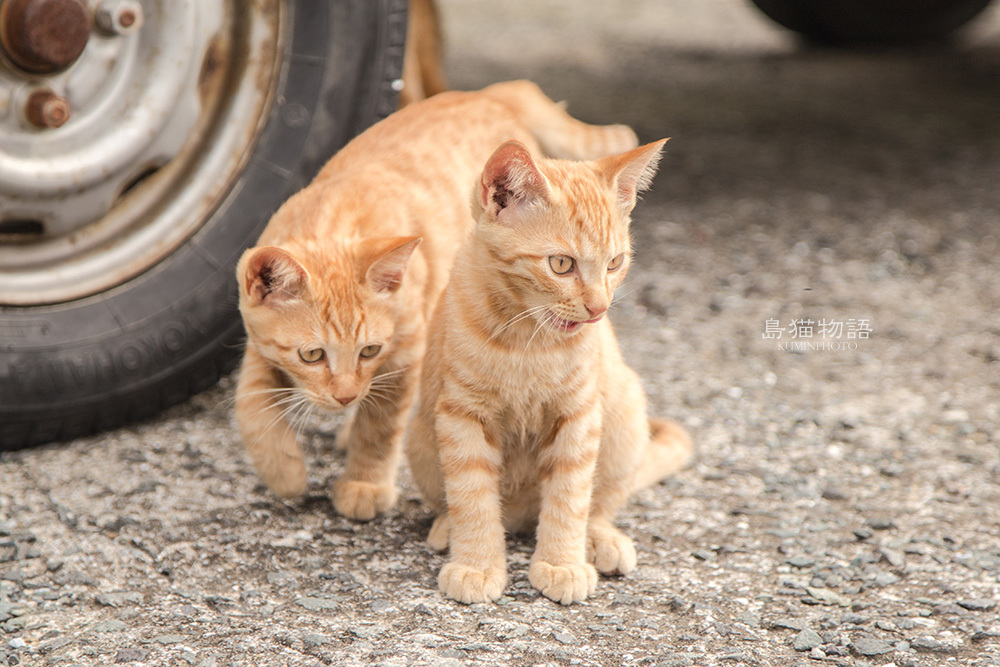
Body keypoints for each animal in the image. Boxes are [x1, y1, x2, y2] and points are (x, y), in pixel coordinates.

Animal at [234, 81, 636, 520]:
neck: (334, 220)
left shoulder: (405, 352)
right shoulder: (256, 337)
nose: (345, 397)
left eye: (369, 350)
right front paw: (282, 467)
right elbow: (250, 397)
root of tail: (489, 93)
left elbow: (380, 424)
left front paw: (364, 482)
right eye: (311, 355)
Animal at [402, 138, 692, 604]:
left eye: (615, 263)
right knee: (457, 502)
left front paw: (561, 563)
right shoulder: (462, 414)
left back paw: (601, 539)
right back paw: (449, 530)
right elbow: (472, 496)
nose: (599, 308)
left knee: (600, 503)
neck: (528, 339)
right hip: (420, 440)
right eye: (561, 264)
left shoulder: (579, 415)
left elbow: (570, 496)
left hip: (626, 416)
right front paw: (477, 564)